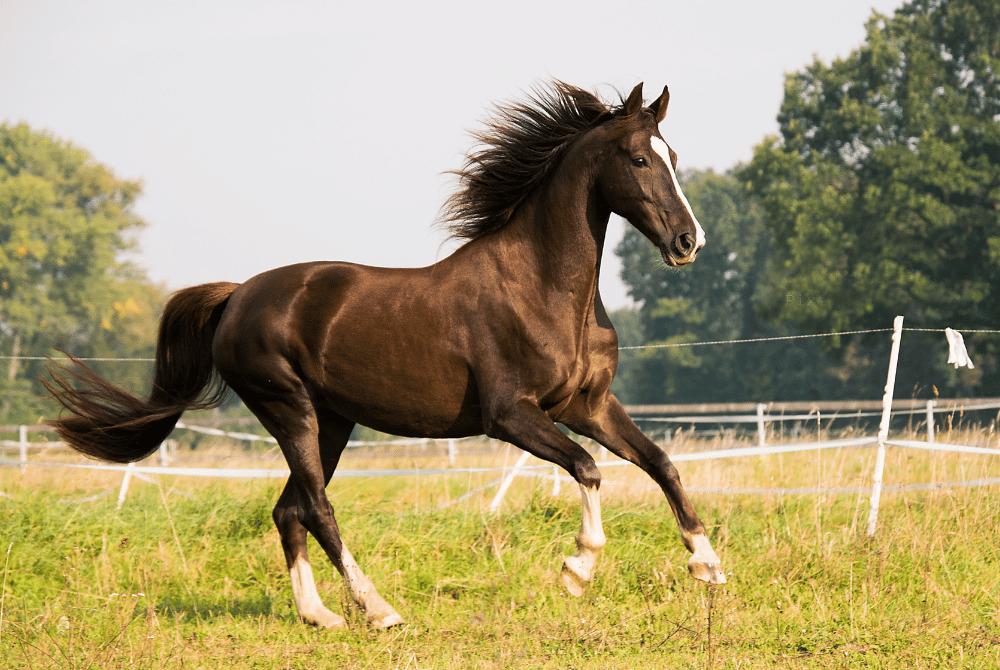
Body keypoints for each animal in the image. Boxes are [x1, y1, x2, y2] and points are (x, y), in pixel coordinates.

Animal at [43, 81, 728, 632]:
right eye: (639, 158)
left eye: (672, 156)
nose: (687, 242)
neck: (543, 289)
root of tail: (237, 295)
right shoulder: (511, 416)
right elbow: (588, 469)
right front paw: (577, 569)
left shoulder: (588, 405)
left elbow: (660, 462)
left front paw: (708, 565)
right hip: (288, 408)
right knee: (317, 508)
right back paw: (379, 610)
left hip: (332, 420)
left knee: (288, 509)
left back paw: (319, 616)